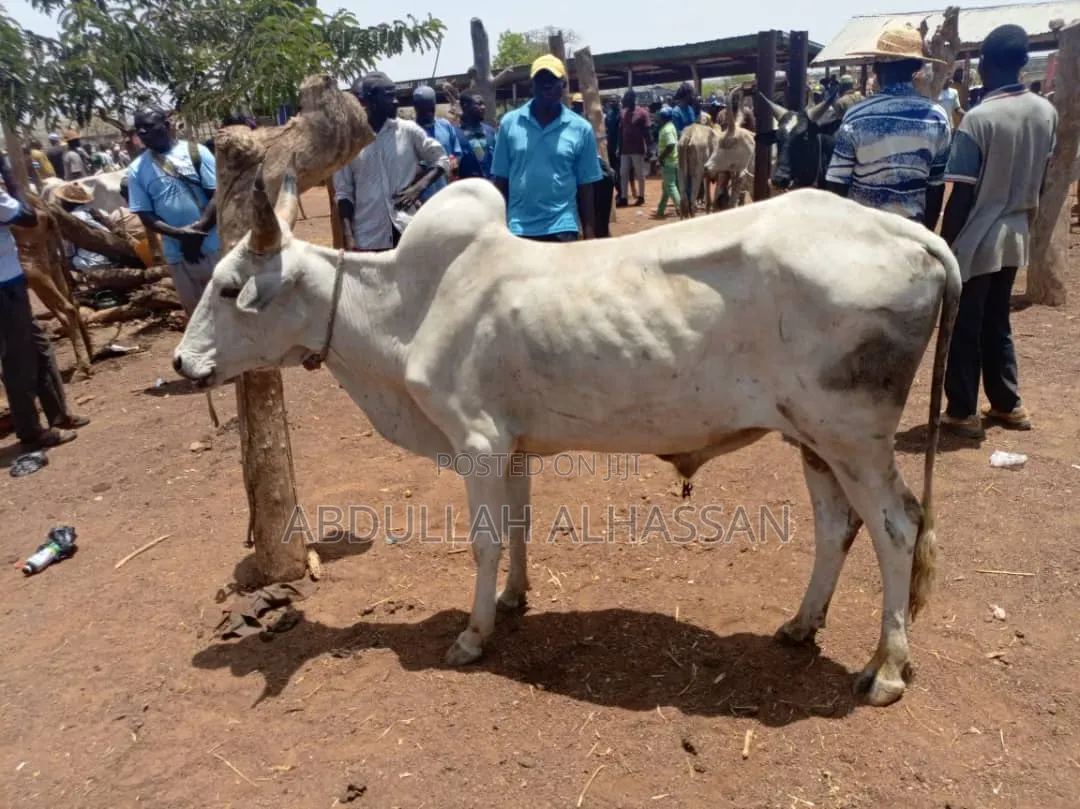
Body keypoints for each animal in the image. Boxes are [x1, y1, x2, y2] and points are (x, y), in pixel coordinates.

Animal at [173, 166, 961, 707]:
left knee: (897, 528)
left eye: (229, 287)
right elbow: (518, 526)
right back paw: (801, 625)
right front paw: (515, 600)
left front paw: (473, 634)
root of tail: (912, 233)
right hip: (813, 439)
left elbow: (485, 540)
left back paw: (886, 668)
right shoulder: (513, 446)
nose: (182, 363)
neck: (410, 304)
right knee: (836, 526)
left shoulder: (477, 442)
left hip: (853, 438)